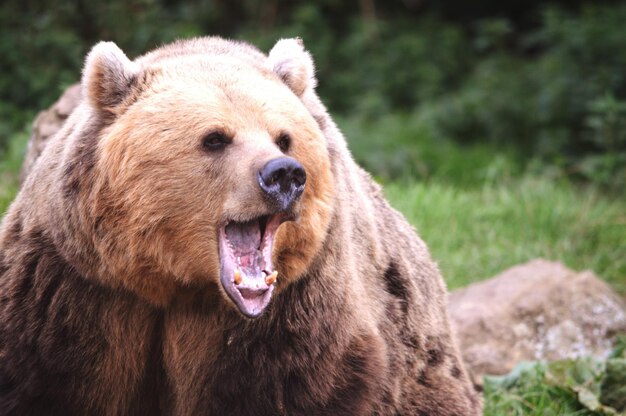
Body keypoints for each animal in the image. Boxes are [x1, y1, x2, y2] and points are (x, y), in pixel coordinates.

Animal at [0, 37, 480, 414]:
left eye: (284, 137)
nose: (284, 175)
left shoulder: (296, 306)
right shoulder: (78, 285)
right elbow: (44, 376)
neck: (180, 286)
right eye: (215, 138)